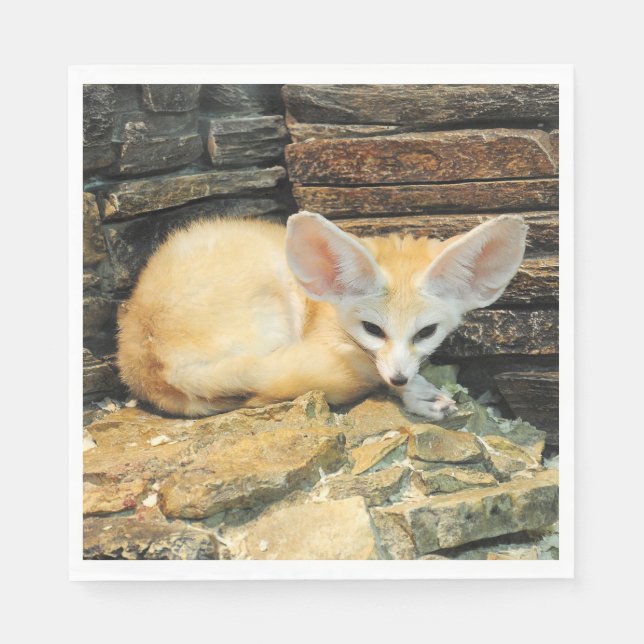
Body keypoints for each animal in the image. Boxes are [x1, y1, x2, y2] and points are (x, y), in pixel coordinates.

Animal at [116, 212, 527, 420]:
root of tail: (146, 360)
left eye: (425, 332)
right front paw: (413, 393)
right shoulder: (331, 341)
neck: (325, 305)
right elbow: (369, 366)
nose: (399, 378)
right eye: (372, 329)